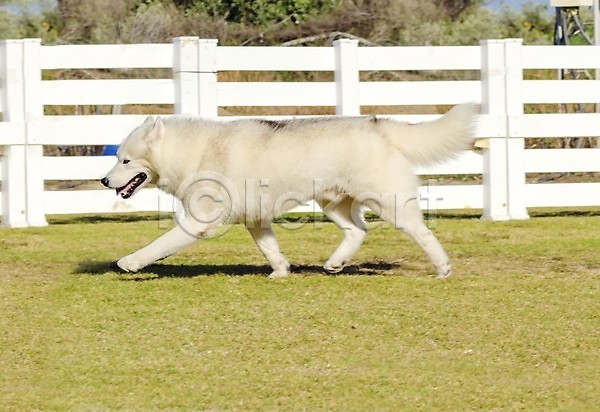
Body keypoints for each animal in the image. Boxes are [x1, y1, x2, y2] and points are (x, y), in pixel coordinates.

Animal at [103, 104, 478, 276]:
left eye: (125, 160)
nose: (104, 181)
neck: (194, 153)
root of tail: (379, 126)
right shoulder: (256, 219)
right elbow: (270, 249)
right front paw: (281, 271)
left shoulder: (200, 222)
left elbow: (158, 244)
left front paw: (130, 263)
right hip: (333, 204)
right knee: (357, 231)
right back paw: (335, 263)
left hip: (389, 203)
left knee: (422, 232)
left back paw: (442, 268)